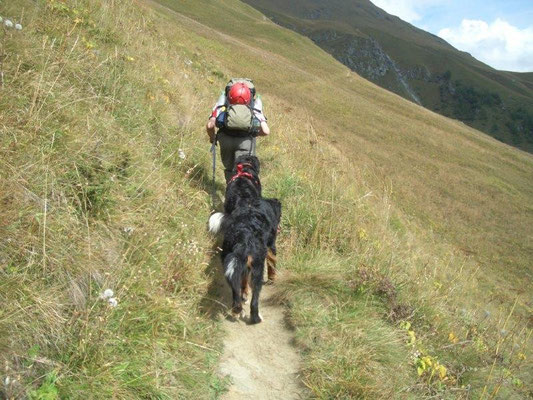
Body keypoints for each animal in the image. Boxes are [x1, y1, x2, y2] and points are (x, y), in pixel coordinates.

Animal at [209, 155, 282, 324]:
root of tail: (244, 238)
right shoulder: (271, 246)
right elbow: (272, 264)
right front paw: (273, 278)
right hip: (257, 269)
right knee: (255, 299)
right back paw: (255, 318)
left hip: (232, 262)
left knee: (237, 290)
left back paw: (237, 308)